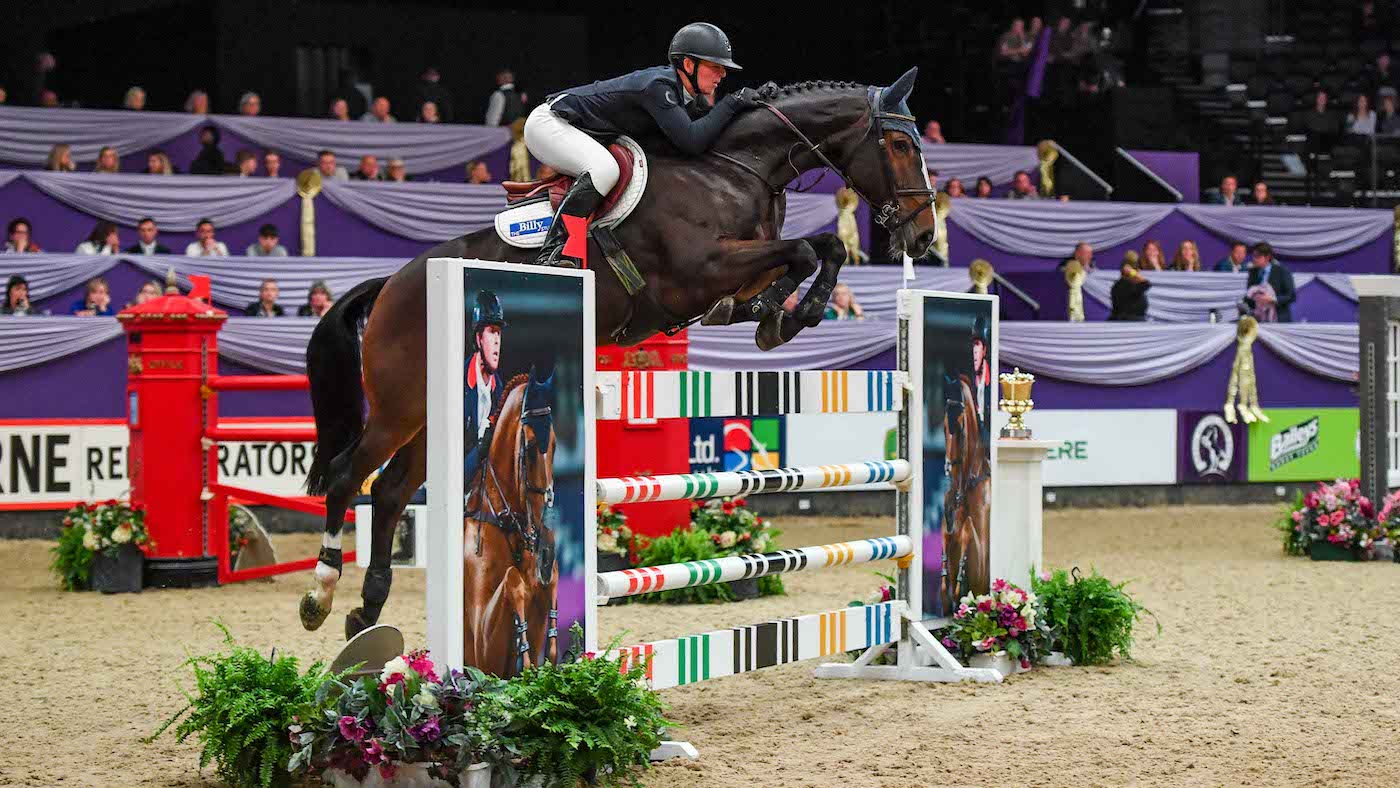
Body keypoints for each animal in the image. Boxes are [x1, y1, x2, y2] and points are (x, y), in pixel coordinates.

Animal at [301, 66, 946, 641]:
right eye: (897, 144)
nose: (922, 238)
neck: (736, 171)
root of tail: (392, 283)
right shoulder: (701, 269)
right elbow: (809, 250)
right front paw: (792, 314)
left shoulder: (737, 267)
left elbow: (816, 249)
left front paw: (779, 316)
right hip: (399, 407)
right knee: (348, 474)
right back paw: (322, 593)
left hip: (443, 415)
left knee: (390, 490)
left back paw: (367, 609)